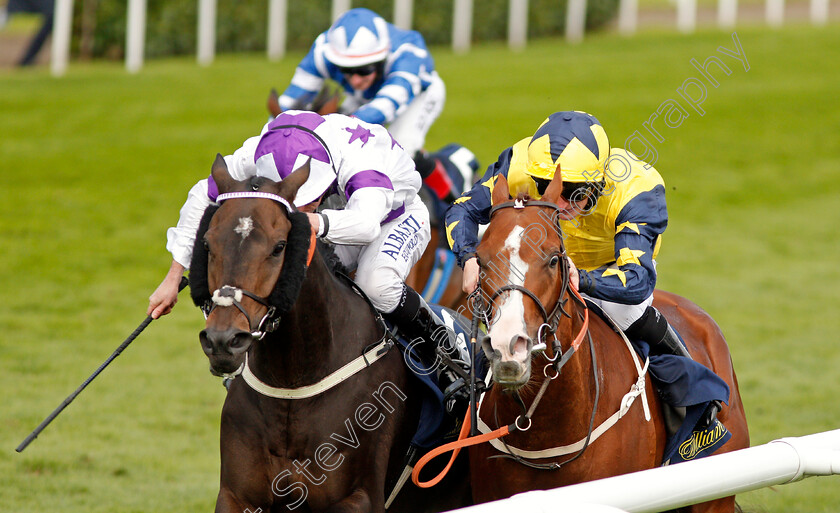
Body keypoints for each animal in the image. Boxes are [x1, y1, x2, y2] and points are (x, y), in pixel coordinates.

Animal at [189, 157, 472, 512]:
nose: (223, 341)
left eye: (279, 247)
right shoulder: (235, 495)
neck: (293, 383)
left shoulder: (358, 496)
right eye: (207, 243)